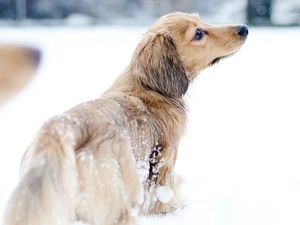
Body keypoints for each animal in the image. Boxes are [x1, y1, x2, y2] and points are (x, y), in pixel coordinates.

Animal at [2, 12, 248, 225]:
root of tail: (61, 130)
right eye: (198, 33)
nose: (244, 29)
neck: (148, 86)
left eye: (201, 21)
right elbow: (164, 189)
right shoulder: (165, 158)